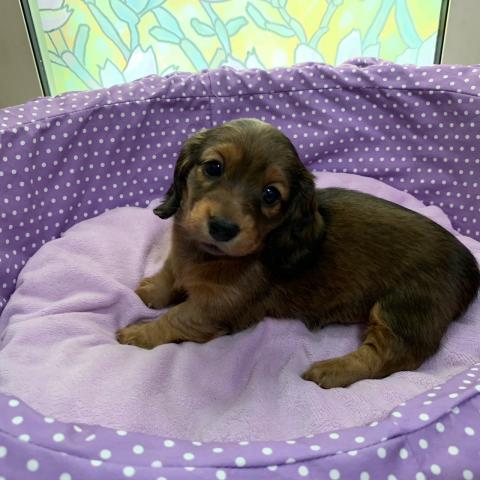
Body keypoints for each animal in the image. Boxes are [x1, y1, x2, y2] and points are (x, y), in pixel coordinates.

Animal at [117, 118, 480, 388]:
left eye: (270, 194)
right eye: (214, 167)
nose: (222, 228)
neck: (205, 255)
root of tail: (471, 266)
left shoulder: (214, 308)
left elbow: (174, 319)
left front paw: (137, 333)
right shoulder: (179, 262)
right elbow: (168, 276)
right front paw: (147, 292)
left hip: (399, 310)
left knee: (390, 358)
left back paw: (331, 370)